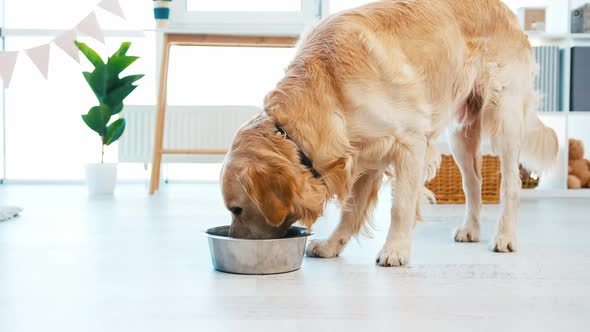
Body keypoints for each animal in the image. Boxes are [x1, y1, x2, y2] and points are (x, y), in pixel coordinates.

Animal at [222, 0, 560, 266]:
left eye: (237, 209)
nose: (234, 239)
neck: (328, 91)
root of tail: (508, 11)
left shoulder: (409, 141)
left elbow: (401, 206)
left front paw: (395, 250)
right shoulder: (366, 155)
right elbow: (351, 210)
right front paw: (332, 246)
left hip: (505, 117)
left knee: (511, 184)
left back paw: (504, 237)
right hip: (461, 134)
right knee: (473, 183)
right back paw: (471, 229)